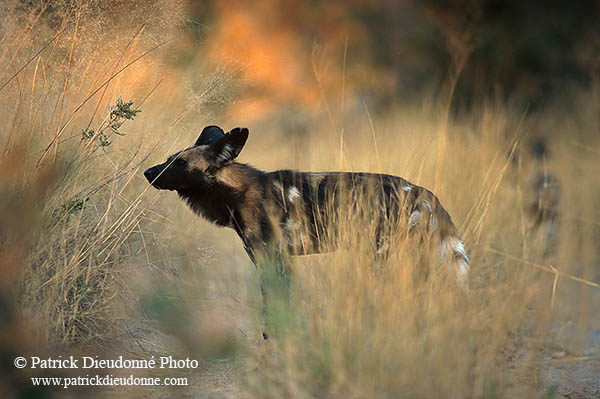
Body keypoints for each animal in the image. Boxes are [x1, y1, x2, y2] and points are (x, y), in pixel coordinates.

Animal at [144, 126, 468, 340]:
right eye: (170, 158)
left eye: (180, 163)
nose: (148, 172)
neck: (237, 191)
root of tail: (423, 193)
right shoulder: (275, 260)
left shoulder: (272, 259)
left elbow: (275, 303)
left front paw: (273, 338)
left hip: (383, 255)